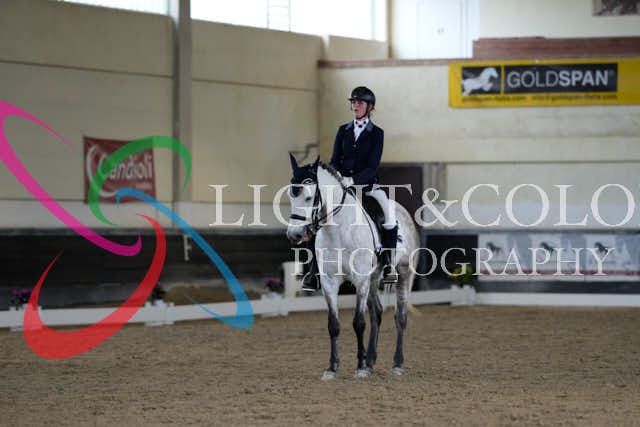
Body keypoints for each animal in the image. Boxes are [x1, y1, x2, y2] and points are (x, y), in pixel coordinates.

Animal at [286, 154, 420, 379]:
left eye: (308, 198)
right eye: (290, 196)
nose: (294, 234)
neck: (338, 229)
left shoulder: (360, 280)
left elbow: (358, 323)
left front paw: (360, 367)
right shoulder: (330, 282)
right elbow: (333, 325)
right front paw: (332, 368)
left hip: (403, 274)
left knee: (400, 317)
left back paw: (397, 364)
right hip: (373, 279)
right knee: (377, 313)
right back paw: (371, 361)